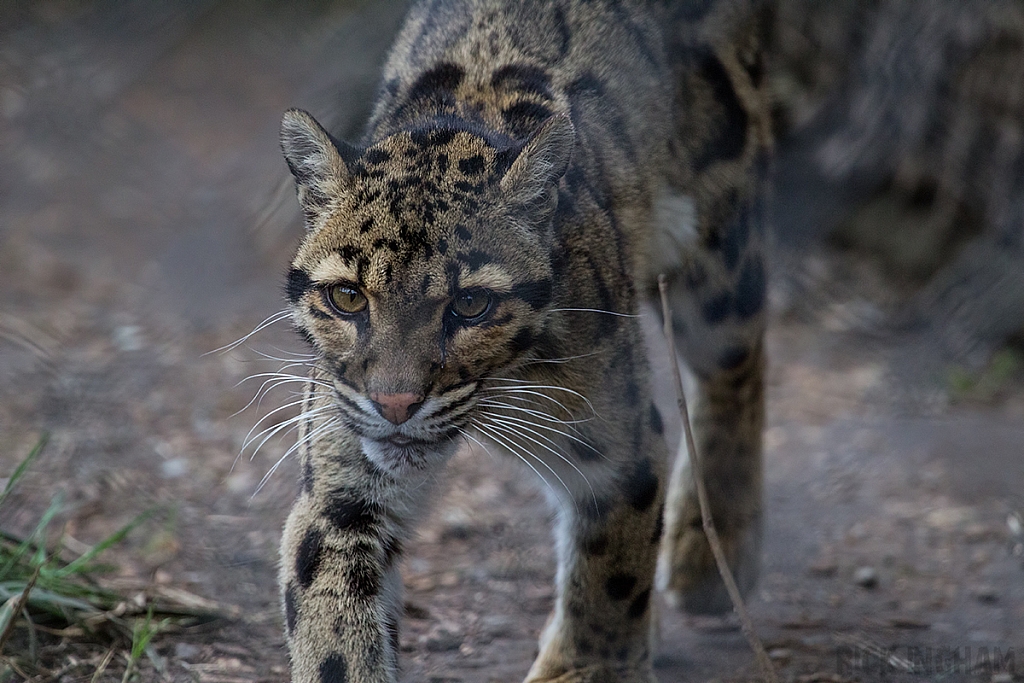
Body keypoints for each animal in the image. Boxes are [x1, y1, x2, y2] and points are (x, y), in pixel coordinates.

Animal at [278, 1, 770, 683]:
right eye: (348, 297)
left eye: (471, 304)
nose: (396, 405)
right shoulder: (342, 481)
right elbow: (333, 624)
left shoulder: (622, 447)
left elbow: (609, 580)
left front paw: (587, 666)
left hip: (717, 238)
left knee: (738, 358)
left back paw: (710, 549)